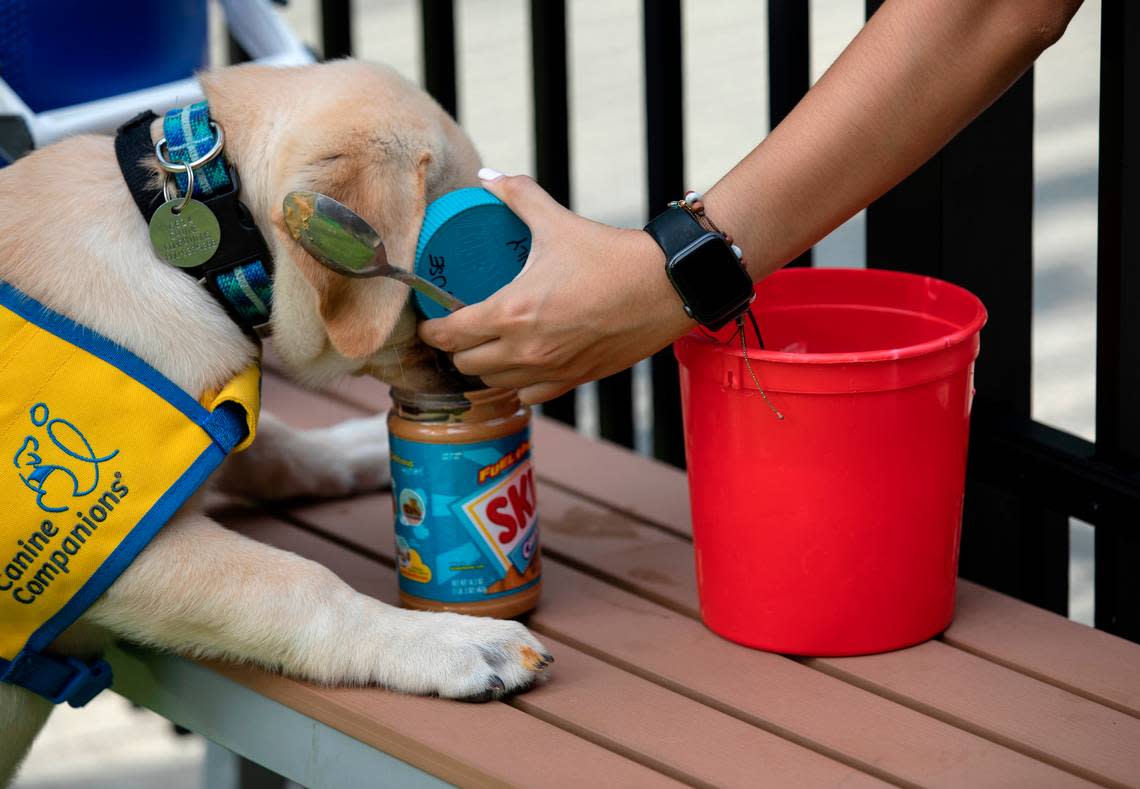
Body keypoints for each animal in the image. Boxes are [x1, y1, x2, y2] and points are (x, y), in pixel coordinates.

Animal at [0, 61, 551, 784]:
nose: (501, 383)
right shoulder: (101, 546)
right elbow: (299, 584)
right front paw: (453, 641)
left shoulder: (204, 427)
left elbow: (278, 448)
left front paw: (356, 451)